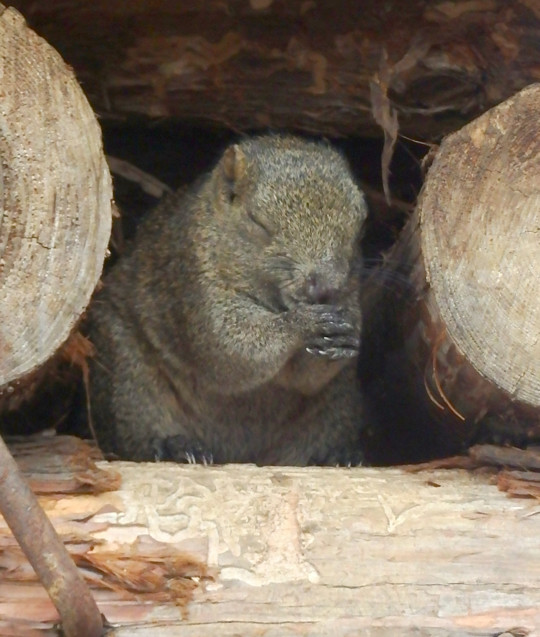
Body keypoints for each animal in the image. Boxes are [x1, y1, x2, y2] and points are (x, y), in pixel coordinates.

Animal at [87, 134, 368, 464]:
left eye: (360, 229)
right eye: (258, 222)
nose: (324, 286)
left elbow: (305, 377)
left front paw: (345, 335)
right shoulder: (192, 280)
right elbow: (229, 345)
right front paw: (301, 324)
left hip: (337, 405)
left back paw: (337, 457)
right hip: (128, 377)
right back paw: (176, 447)